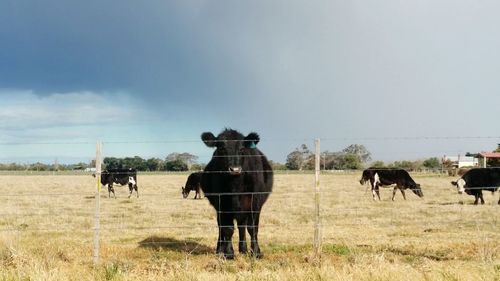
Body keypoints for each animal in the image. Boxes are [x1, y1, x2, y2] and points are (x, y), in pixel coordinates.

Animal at [199, 128, 274, 258]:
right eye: (221, 148)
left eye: (242, 149)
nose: (235, 169)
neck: (235, 188)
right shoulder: (222, 204)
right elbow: (227, 229)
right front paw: (229, 253)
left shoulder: (255, 203)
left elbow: (253, 228)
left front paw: (256, 252)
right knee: (221, 227)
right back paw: (220, 249)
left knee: (241, 226)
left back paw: (243, 249)